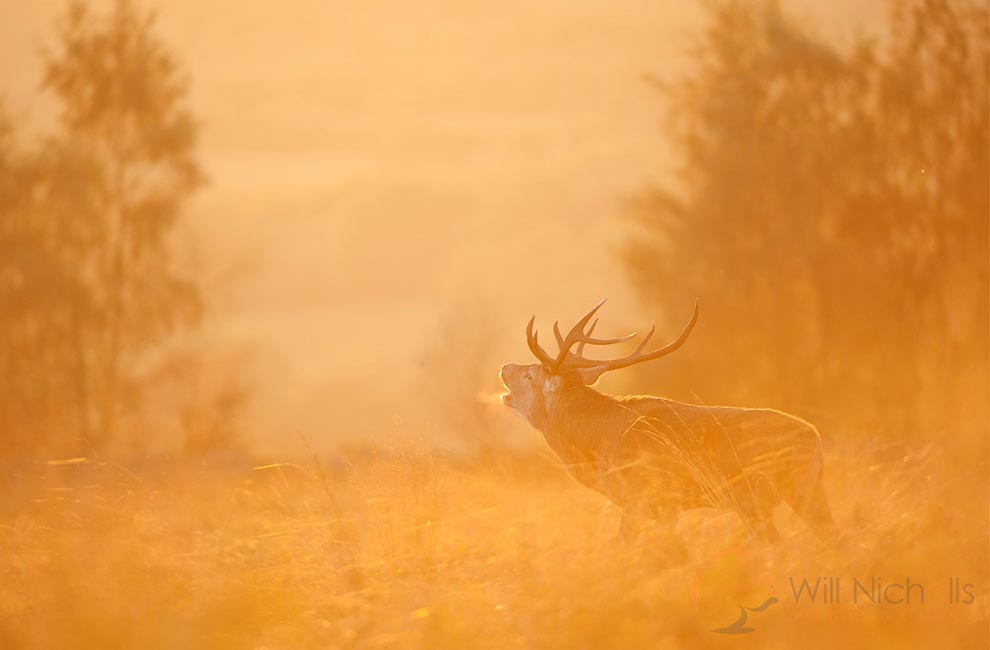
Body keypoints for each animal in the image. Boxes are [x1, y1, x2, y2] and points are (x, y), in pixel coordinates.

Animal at [499, 299, 835, 545]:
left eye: (530, 375)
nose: (504, 367)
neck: (596, 442)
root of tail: (816, 439)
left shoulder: (646, 497)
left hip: (788, 490)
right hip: (799, 494)